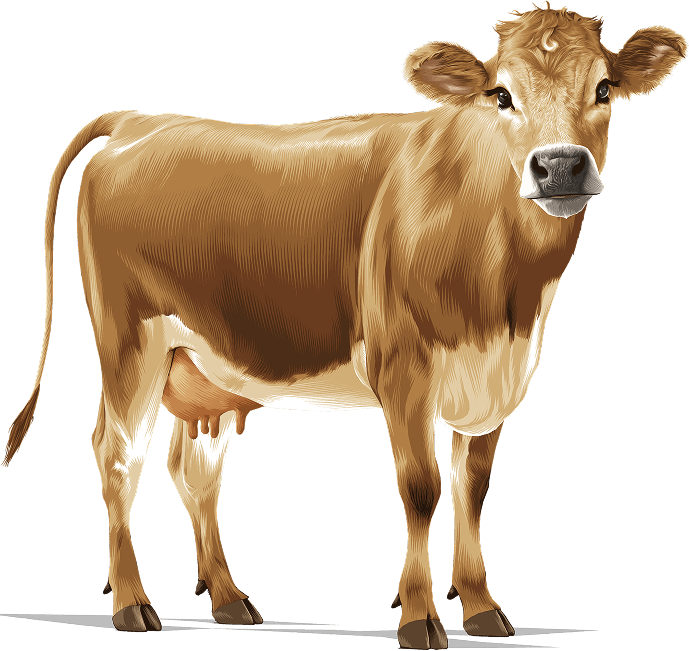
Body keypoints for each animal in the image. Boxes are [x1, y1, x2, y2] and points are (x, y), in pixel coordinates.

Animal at [3, 3, 684, 648]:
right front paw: (419, 616)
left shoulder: (494, 377)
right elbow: (421, 487)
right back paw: (132, 604)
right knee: (119, 455)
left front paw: (482, 607)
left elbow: (472, 485)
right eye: (500, 95)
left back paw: (229, 598)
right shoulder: (404, 367)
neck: (506, 297)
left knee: (193, 470)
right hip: (129, 341)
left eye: (604, 88)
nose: (561, 166)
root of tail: (140, 120)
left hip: (200, 369)